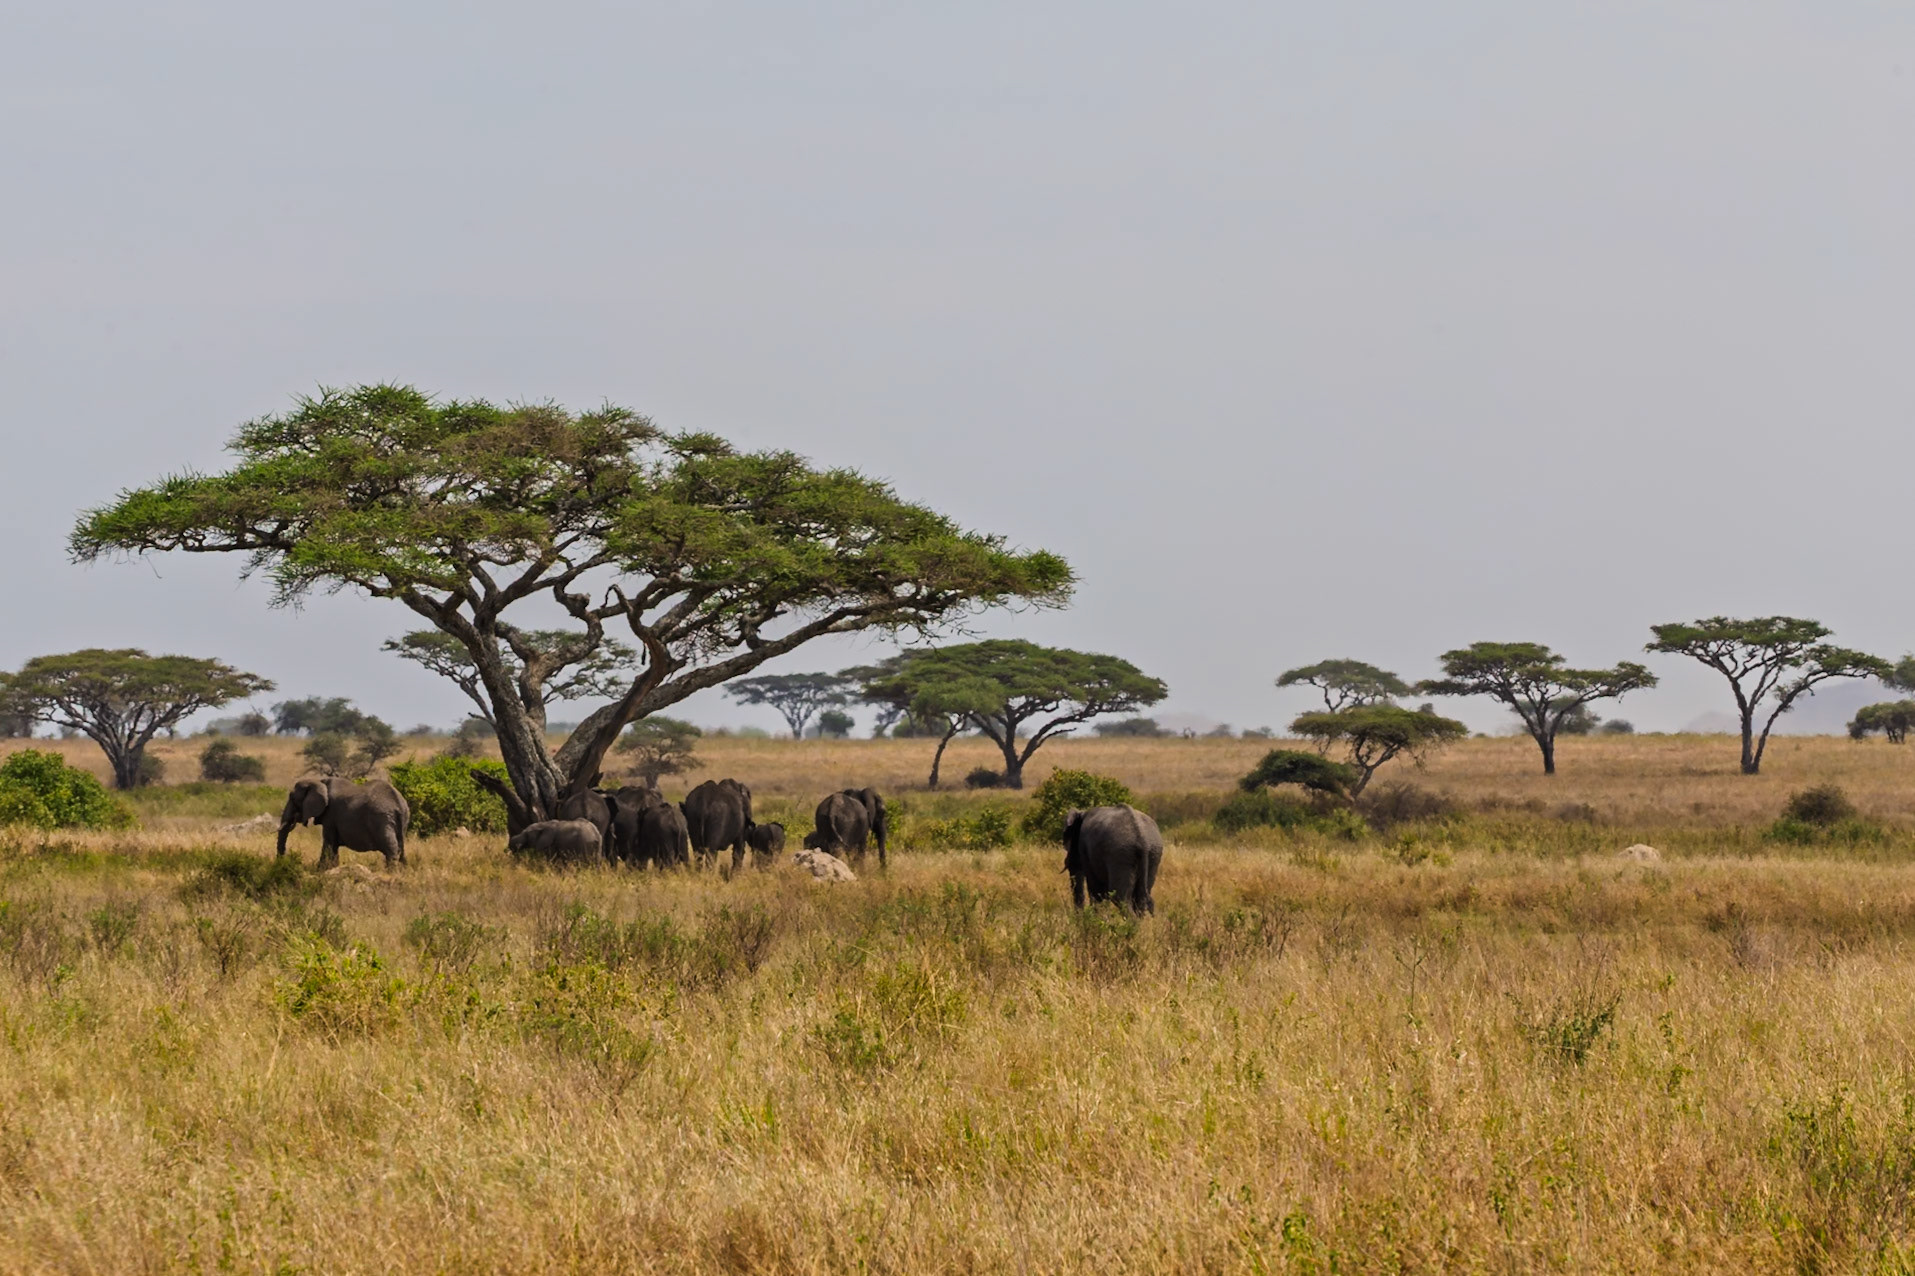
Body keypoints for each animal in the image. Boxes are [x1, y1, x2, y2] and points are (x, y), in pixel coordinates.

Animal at [276, 777, 410, 870]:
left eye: (292, 798)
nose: (282, 862)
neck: (319, 781)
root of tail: (399, 804)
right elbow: (333, 847)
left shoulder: (330, 815)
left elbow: (329, 844)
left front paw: (320, 871)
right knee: (399, 848)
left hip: (381, 818)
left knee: (390, 847)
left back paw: (391, 872)